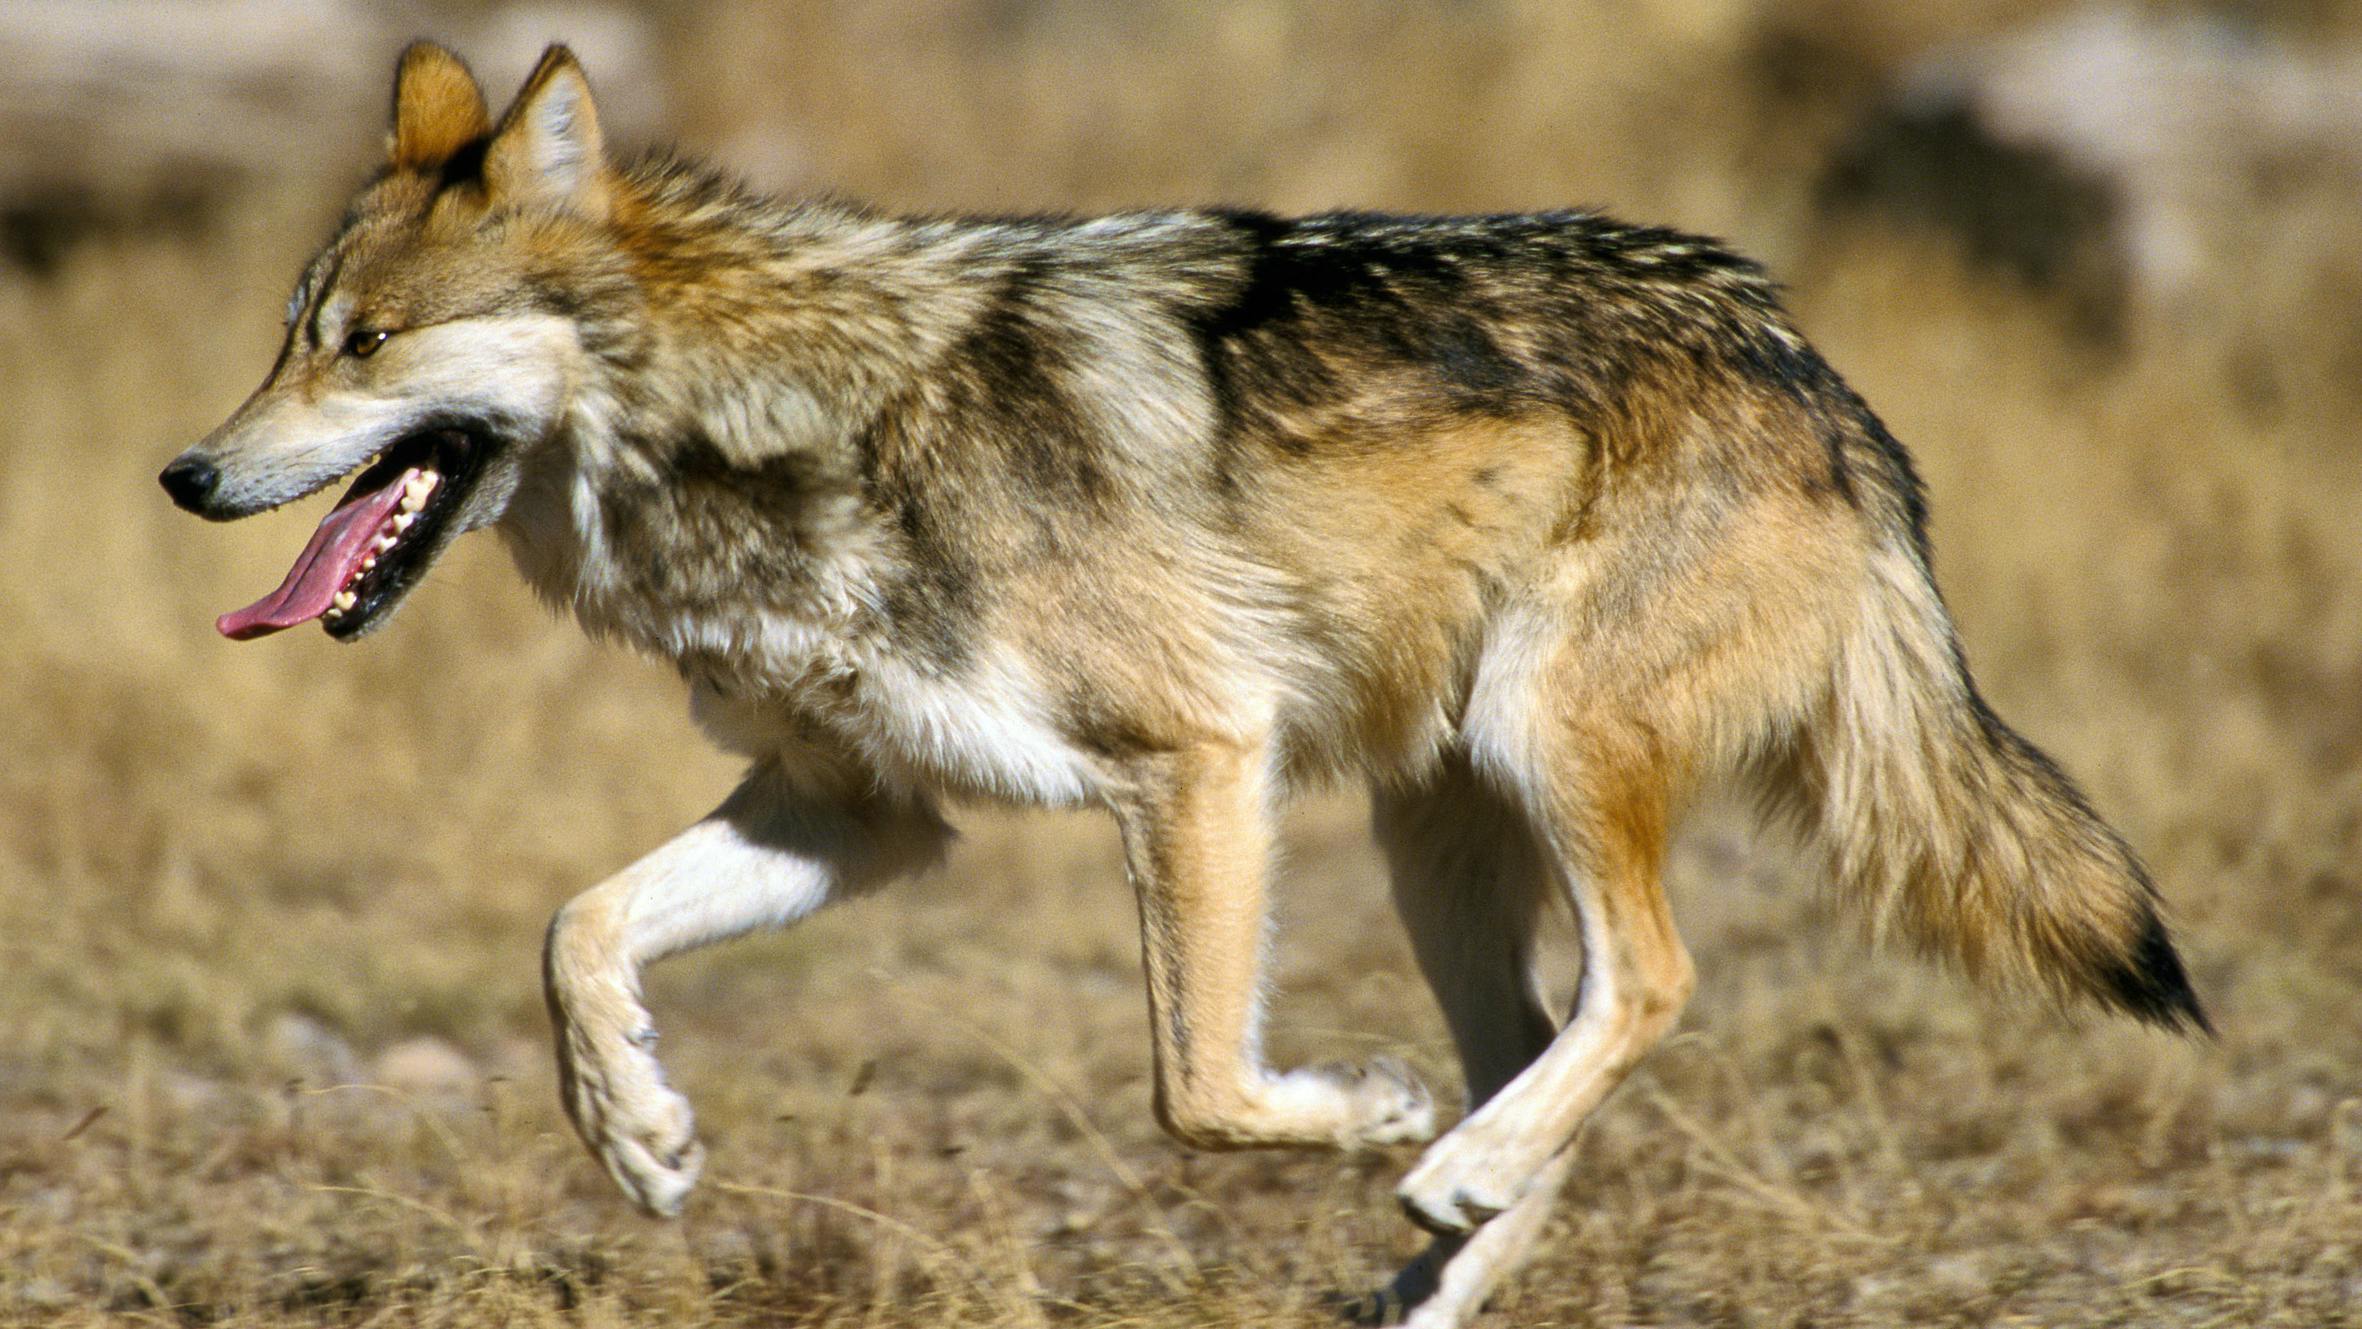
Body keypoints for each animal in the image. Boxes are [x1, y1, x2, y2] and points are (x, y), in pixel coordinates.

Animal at [157, 41, 2201, 1329]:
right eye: (285, 339)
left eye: (365, 344)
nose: (183, 474)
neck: (774, 425)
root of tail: (1809, 365)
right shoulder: (858, 813)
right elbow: (574, 929)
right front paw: (640, 1135)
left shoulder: (1197, 757)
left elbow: (1197, 1088)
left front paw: (1355, 1112)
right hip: (1433, 836)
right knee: (1549, 1054)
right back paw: (1444, 1237)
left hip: (1533, 750)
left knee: (1651, 984)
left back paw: (1436, 1165)